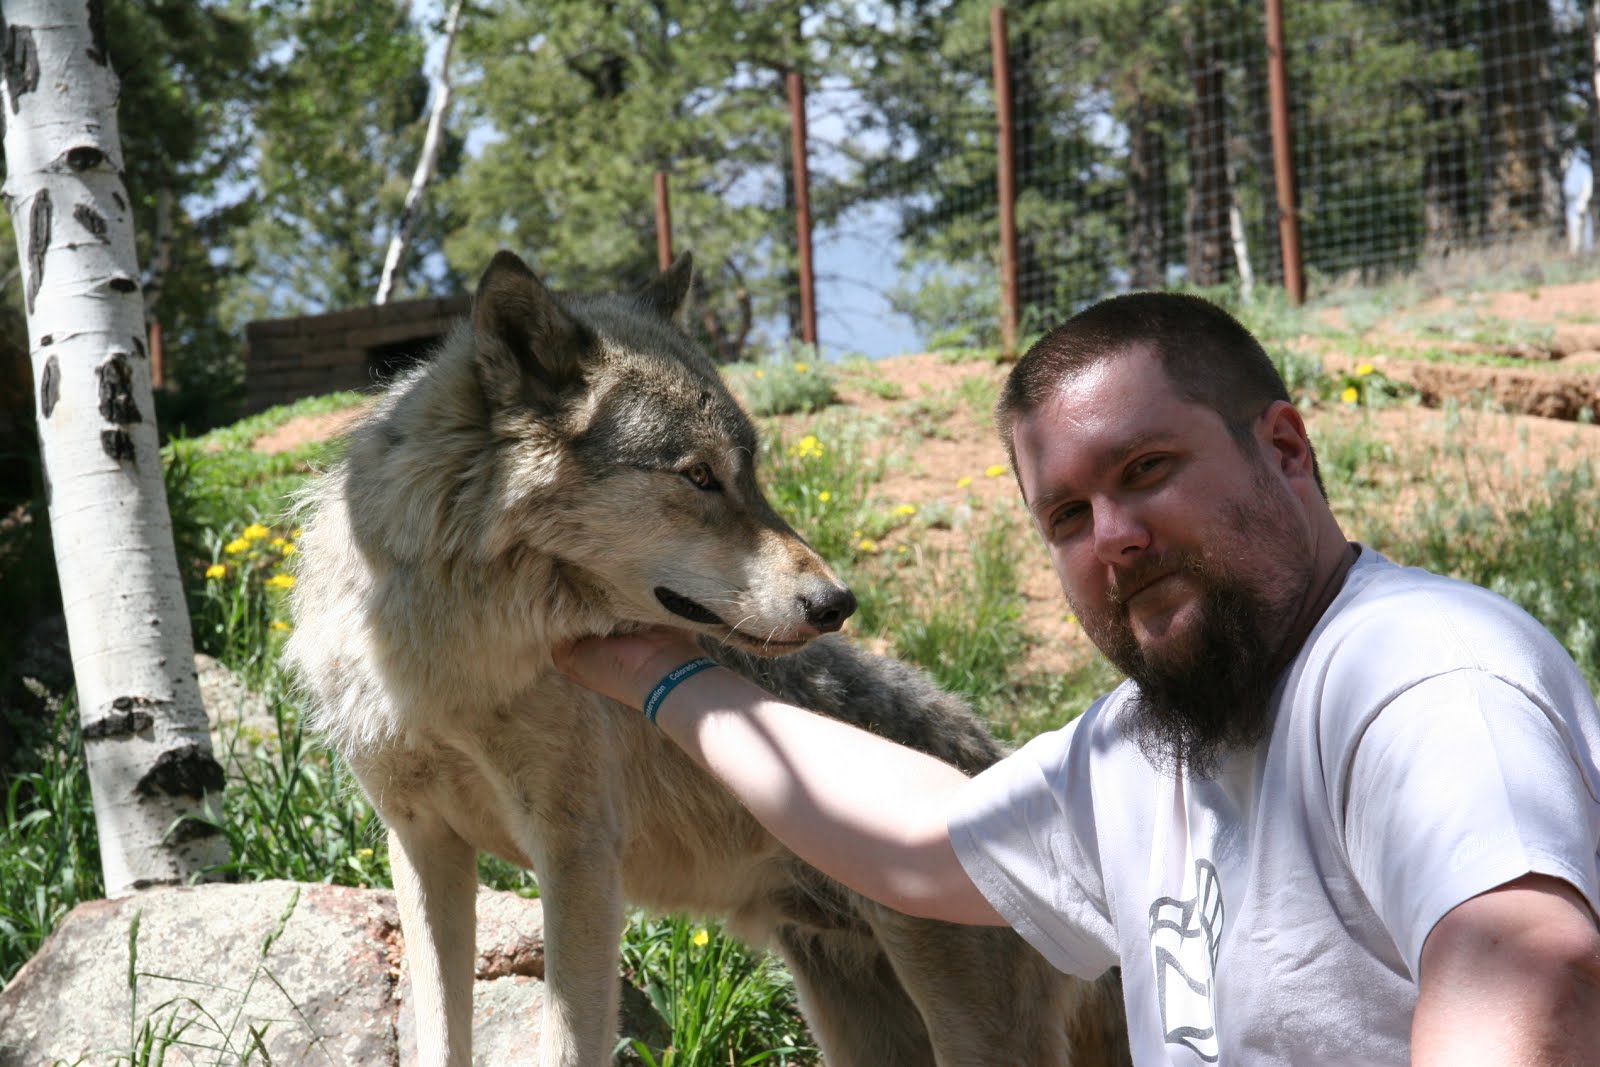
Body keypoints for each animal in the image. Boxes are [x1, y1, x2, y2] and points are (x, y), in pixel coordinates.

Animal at [288, 252, 1132, 1067]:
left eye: (750, 473)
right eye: (698, 476)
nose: (837, 602)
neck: (453, 669)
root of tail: (1009, 767)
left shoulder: (578, 859)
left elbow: (566, 1043)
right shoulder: (421, 844)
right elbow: (437, 1034)